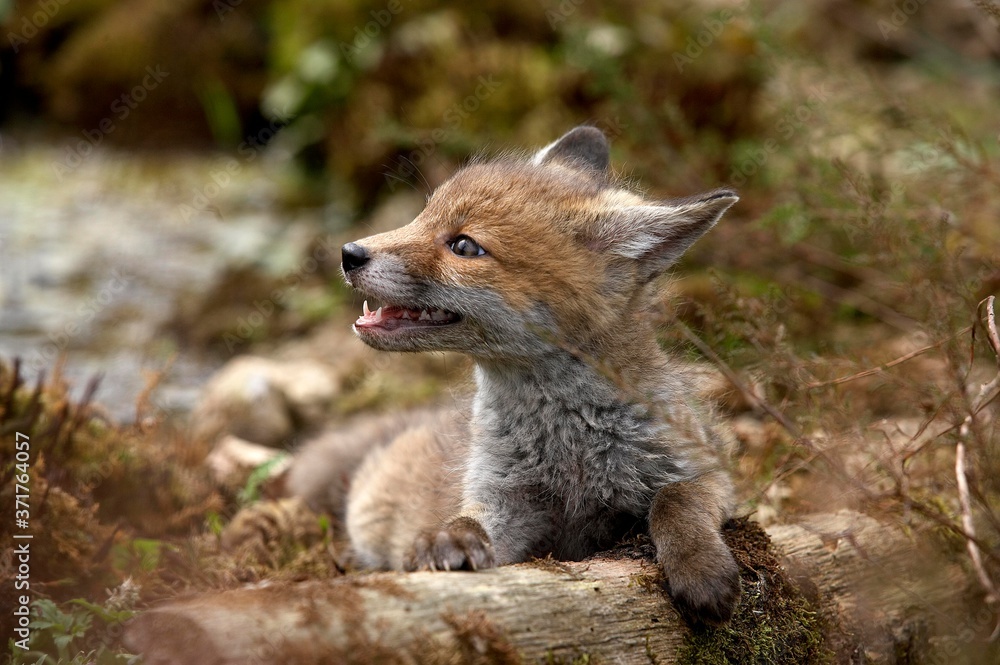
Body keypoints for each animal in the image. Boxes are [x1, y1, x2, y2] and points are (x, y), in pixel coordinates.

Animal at [288, 125, 741, 624]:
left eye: (464, 246)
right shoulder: (504, 498)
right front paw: (445, 539)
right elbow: (468, 520)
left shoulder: (706, 470)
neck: (569, 448)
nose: (348, 253)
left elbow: (674, 502)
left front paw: (699, 566)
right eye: (421, 216)